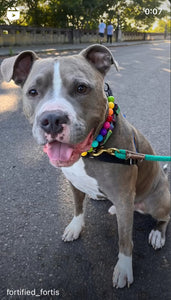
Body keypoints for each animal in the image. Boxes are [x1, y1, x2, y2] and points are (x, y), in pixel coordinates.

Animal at [0, 45, 170, 288]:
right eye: (32, 92)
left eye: (81, 88)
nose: (52, 119)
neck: (93, 151)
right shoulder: (74, 183)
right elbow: (78, 207)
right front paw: (75, 227)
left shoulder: (123, 196)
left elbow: (125, 240)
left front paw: (124, 268)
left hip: (157, 202)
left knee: (164, 218)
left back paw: (157, 234)